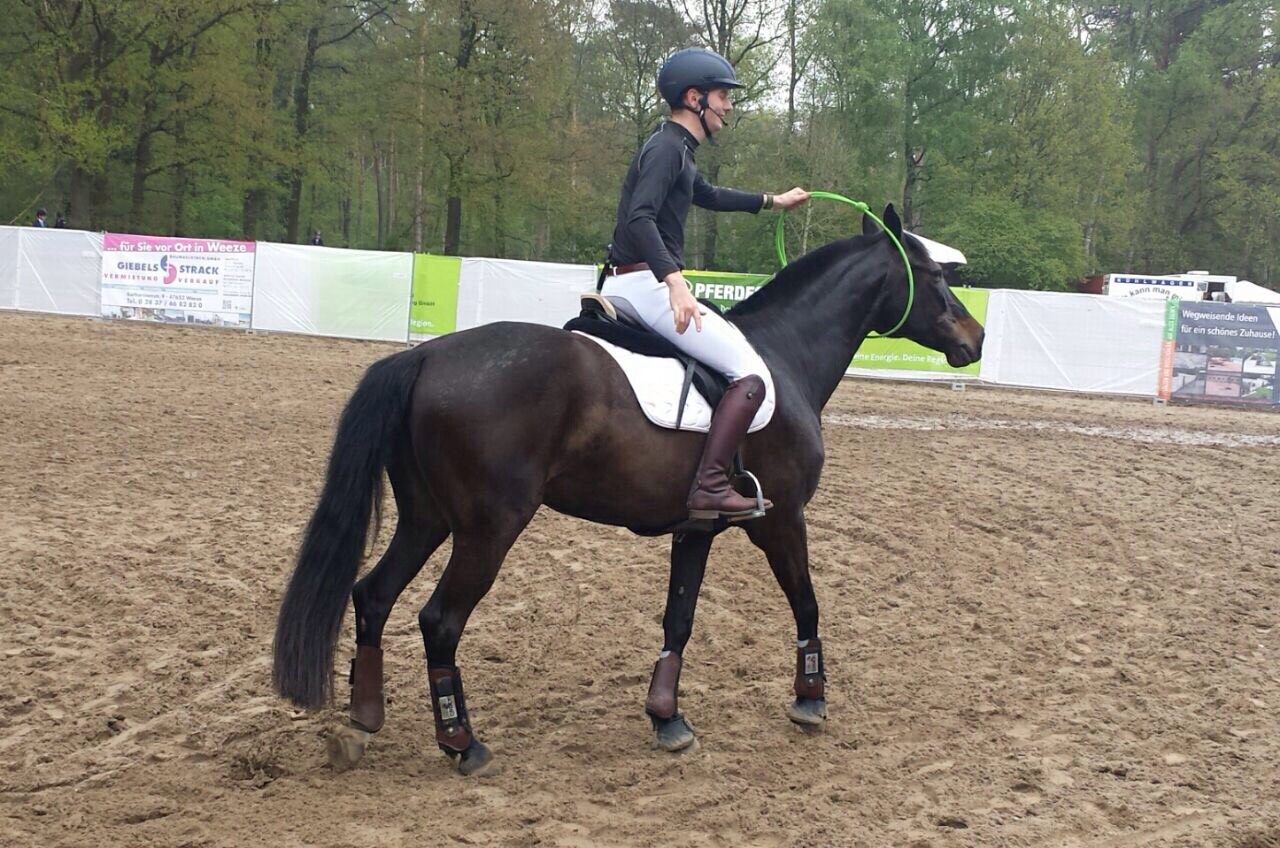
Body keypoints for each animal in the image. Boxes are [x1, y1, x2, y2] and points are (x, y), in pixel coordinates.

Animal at [272, 204, 984, 775]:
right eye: (937, 276)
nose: (975, 337)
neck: (785, 357)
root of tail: (423, 355)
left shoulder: (698, 528)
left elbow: (680, 618)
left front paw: (667, 716)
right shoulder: (781, 520)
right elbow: (807, 604)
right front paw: (811, 698)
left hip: (427, 519)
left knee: (373, 595)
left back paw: (364, 721)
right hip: (488, 528)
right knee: (439, 621)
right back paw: (461, 742)